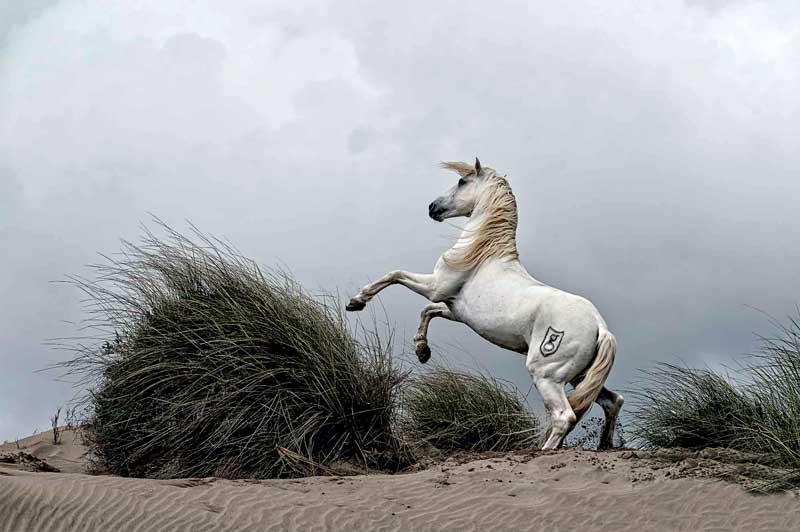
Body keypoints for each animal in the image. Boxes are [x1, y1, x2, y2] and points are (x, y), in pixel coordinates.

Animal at [346, 159, 620, 448]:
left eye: (461, 182)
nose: (432, 207)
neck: (483, 253)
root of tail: (600, 327)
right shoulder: (454, 309)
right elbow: (428, 311)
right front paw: (422, 350)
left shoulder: (435, 287)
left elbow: (395, 275)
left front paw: (357, 302)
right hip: (580, 376)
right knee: (613, 402)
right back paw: (604, 444)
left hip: (548, 375)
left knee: (564, 416)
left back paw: (545, 450)